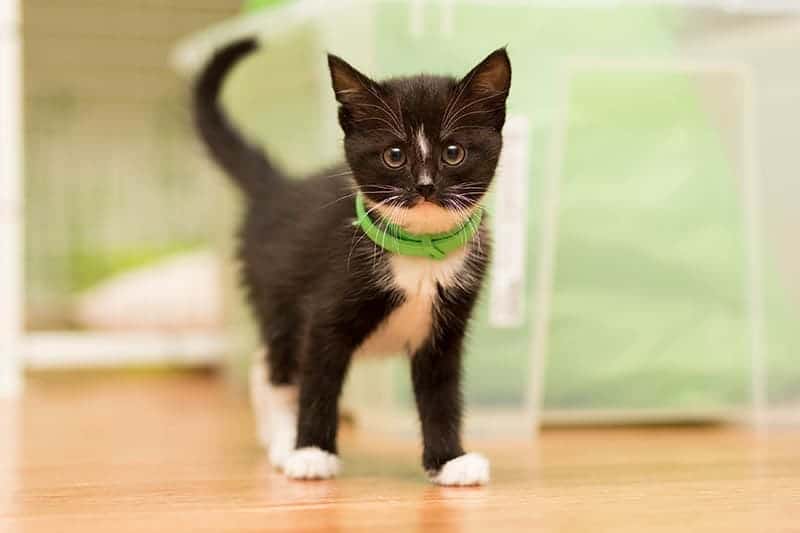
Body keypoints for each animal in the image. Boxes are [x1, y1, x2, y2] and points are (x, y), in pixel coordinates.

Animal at [195, 38, 512, 486]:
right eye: (394, 155)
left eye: (453, 152)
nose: (425, 186)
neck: (420, 252)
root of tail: (279, 188)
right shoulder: (324, 315)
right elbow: (318, 384)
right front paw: (311, 452)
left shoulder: (446, 327)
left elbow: (441, 393)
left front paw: (449, 459)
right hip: (277, 298)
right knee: (275, 367)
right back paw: (282, 440)